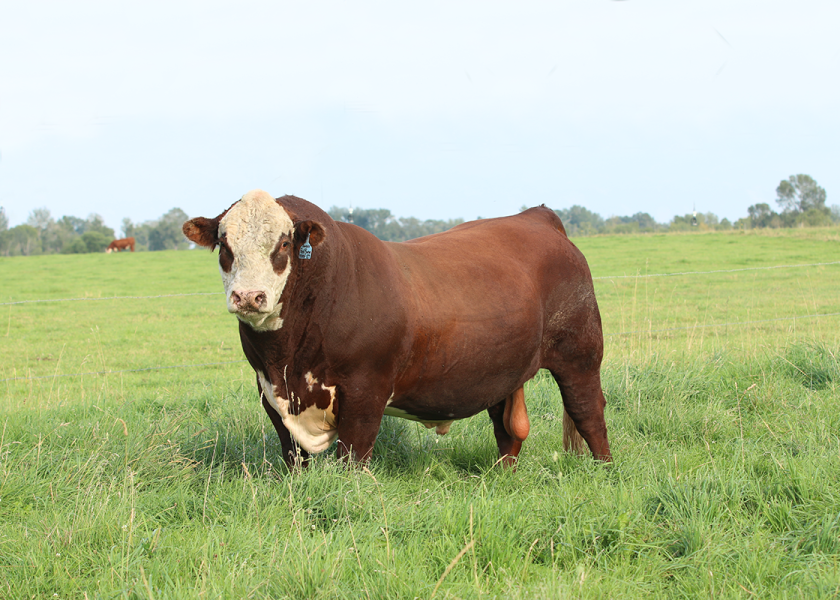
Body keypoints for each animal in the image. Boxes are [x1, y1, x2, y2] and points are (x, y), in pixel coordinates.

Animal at [182, 190, 612, 466]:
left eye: (284, 244)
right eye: (224, 245)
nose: (248, 296)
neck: (288, 357)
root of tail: (537, 217)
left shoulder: (365, 391)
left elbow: (352, 459)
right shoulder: (270, 392)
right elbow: (293, 458)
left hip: (580, 353)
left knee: (588, 412)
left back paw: (603, 470)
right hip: (503, 368)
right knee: (508, 430)